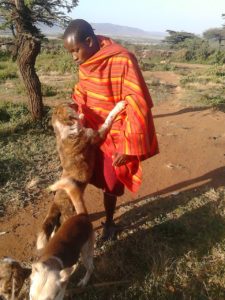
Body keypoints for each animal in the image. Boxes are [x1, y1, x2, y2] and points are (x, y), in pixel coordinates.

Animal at [36, 99, 125, 250]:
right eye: (68, 103)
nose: (75, 101)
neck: (64, 129)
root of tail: (56, 203)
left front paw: (82, 116)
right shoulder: (97, 134)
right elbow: (108, 119)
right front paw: (118, 106)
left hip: (59, 220)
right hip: (69, 214)